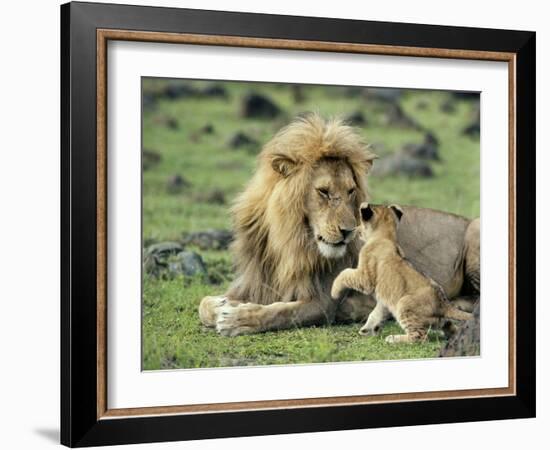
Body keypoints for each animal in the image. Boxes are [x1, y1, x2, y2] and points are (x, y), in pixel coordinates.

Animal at [201, 114, 480, 336]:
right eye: (323, 192)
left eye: (350, 191)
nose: (348, 232)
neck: (288, 241)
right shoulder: (254, 282)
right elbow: (203, 304)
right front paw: (223, 305)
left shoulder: (323, 302)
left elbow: (279, 312)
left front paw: (238, 319)